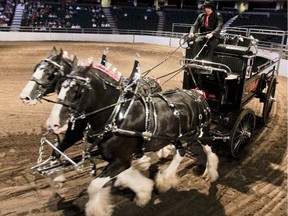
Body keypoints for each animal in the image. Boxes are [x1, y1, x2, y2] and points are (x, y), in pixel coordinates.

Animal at [46, 61, 218, 215]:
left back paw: (211, 173)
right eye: (59, 87)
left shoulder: (122, 160)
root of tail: (198, 94)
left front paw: (98, 210)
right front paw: (143, 192)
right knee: (180, 153)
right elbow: (126, 175)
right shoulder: (118, 158)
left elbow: (94, 186)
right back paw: (164, 181)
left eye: (78, 91)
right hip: (175, 136)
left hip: (201, 133)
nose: (53, 124)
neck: (117, 116)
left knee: (208, 149)